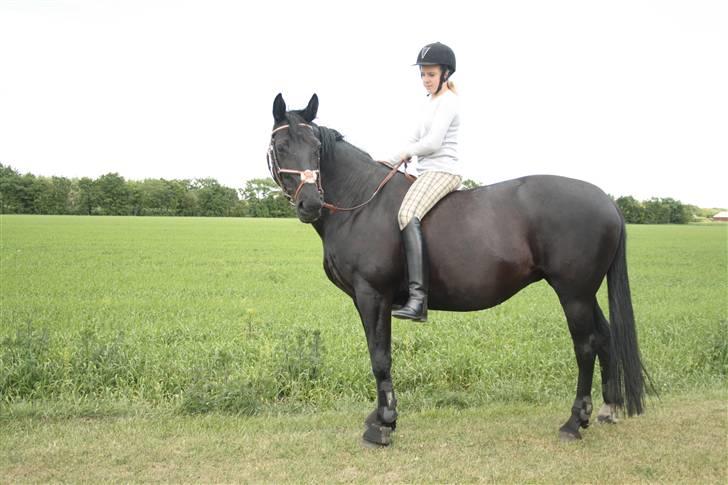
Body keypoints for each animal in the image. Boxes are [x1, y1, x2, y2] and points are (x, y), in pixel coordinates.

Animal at [268, 92, 648, 444]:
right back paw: (606, 409)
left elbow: (380, 357)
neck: (360, 203)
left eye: (316, 148)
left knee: (585, 345)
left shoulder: (372, 295)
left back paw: (573, 422)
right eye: (281, 146)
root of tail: (606, 200)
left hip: (573, 293)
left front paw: (384, 425)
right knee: (605, 337)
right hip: (584, 292)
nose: (310, 204)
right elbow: (378, 354)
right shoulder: (368, 299)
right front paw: (378, 417)